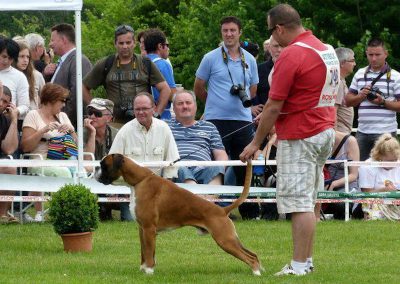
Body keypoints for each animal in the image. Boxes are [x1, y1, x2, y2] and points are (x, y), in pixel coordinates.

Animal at [95, 153, 260, 276]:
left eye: (103, 165)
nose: (96, 167)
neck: (139, 181)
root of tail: (222, 210)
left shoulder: (149, 229)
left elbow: (148, 251)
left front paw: (149, 272)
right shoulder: (142, 229)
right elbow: (145, 252)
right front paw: (143, 269)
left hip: (224, 239)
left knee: (249, 257)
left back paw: (256, 273)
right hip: (230, 239)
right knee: (252, 254)